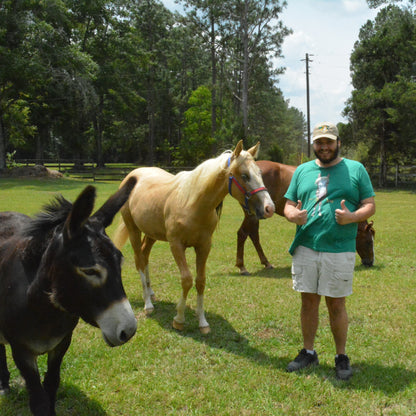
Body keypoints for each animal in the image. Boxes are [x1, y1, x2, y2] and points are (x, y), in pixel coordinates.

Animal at [115, 141, 274, 334]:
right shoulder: (176, 245)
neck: (193, 203)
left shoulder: (204, 246)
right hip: (133, 230)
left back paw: (151, 293)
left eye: (260, 173)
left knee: (145, 256)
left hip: (152, 233)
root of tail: (132, 175)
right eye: (244, 175)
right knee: (139, 260)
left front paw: (203, 322)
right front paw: (179, 319)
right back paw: (148, 304)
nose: (269, 208)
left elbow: (200, 281)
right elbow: (186, 279)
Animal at [236, 161, 376, 274]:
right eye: (369, 242)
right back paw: (242, 267)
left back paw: (266, 263)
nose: (370, 263)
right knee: (243, 233)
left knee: (253, 235)